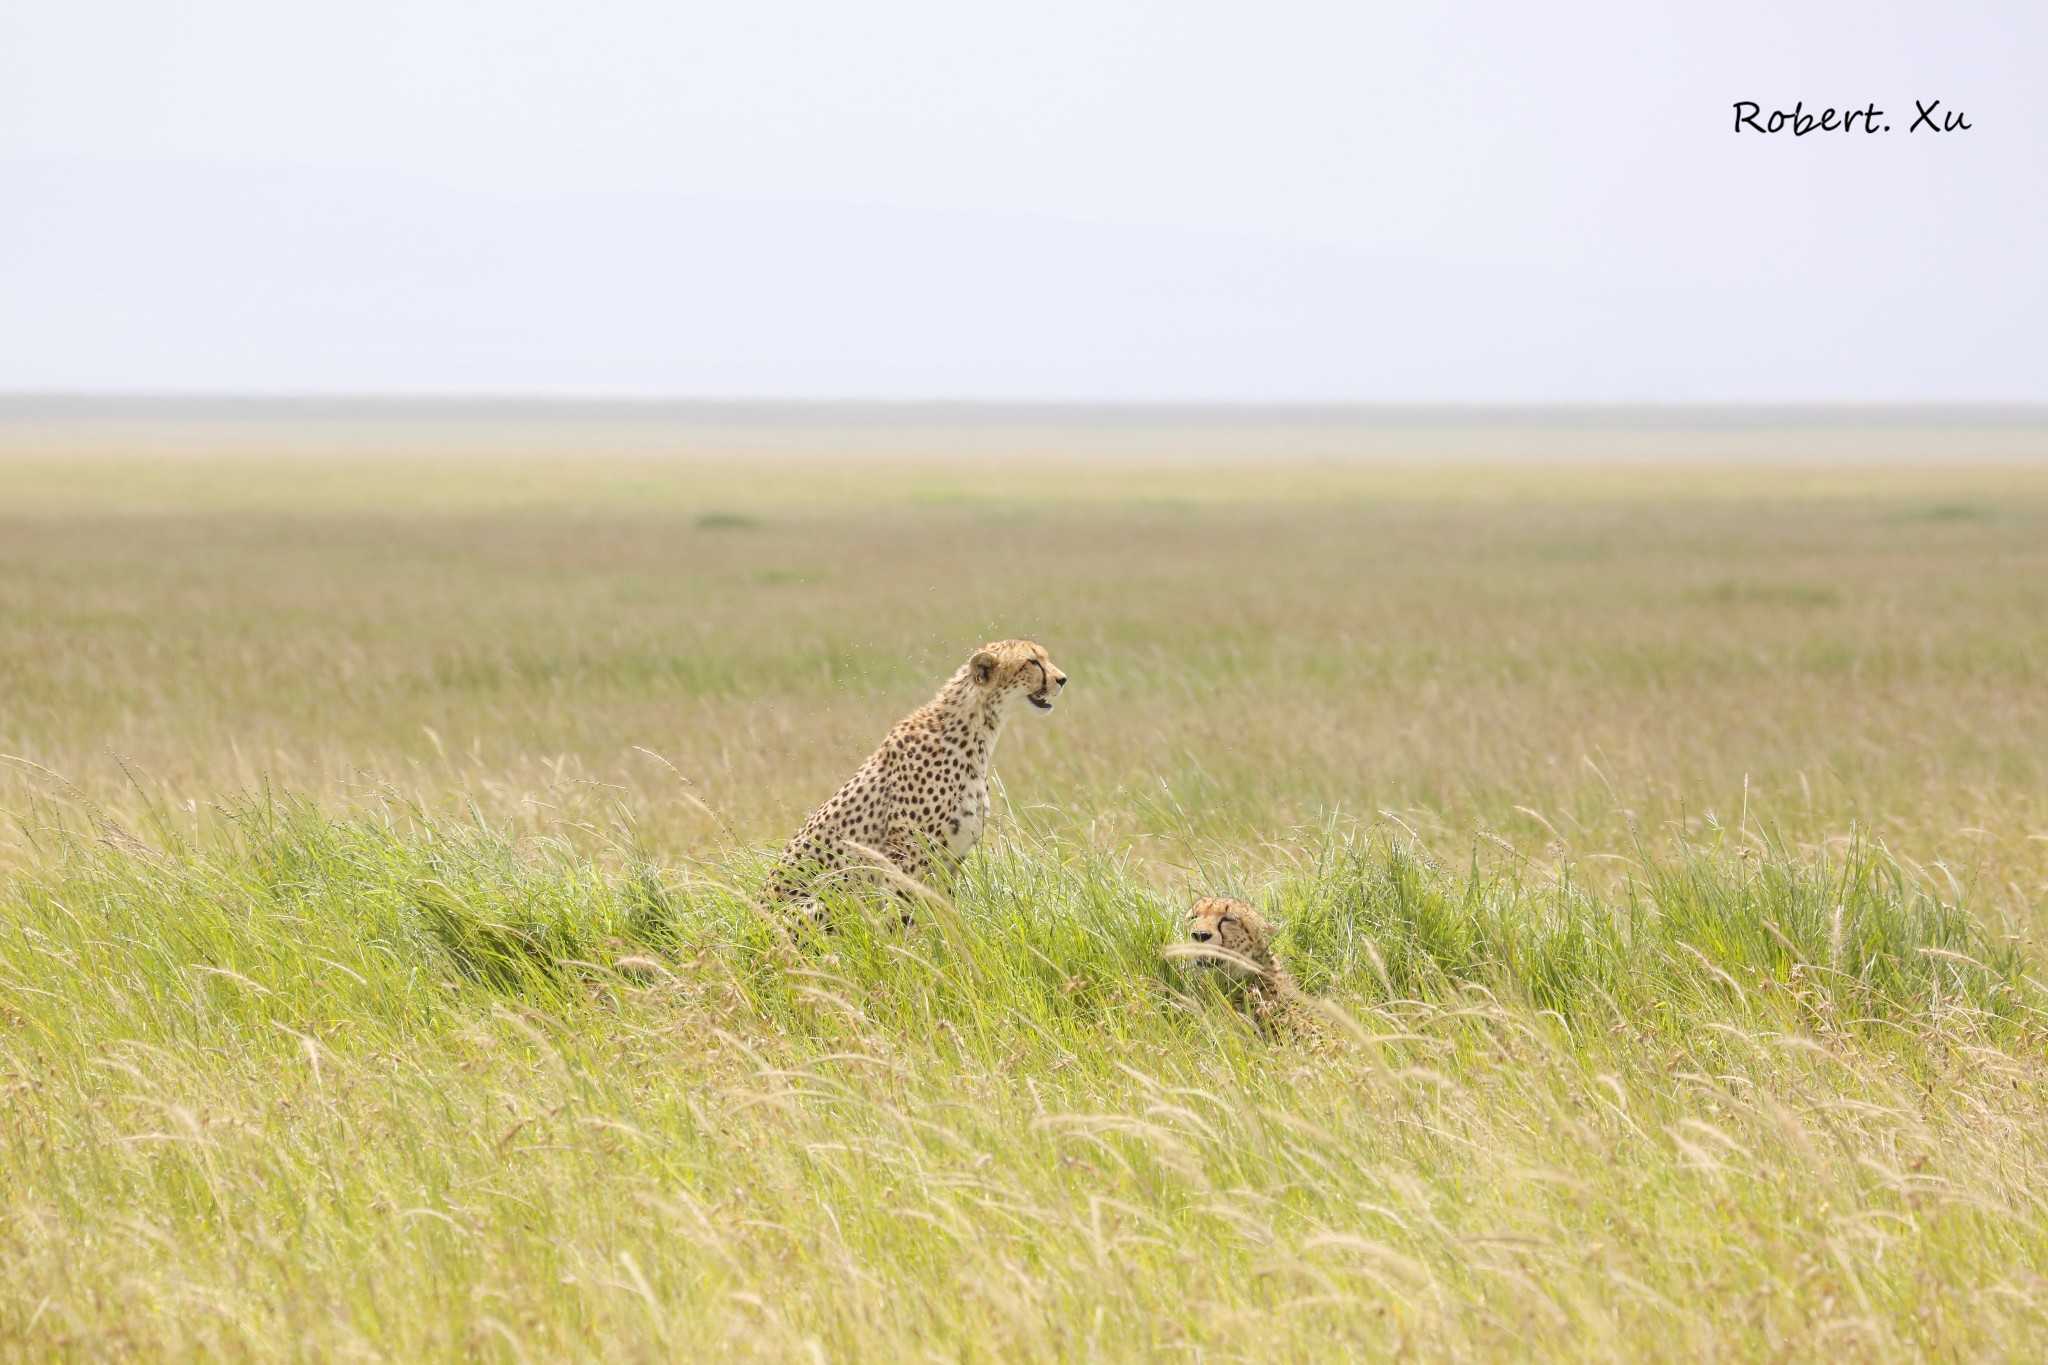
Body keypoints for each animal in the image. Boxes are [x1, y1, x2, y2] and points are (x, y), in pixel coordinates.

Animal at [761, 642, 1064, 929]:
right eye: (1032, 662)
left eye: (1045, 657)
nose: (1063, 679)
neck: (973, 733)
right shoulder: (908, 856)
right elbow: (903, 917)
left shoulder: (951, 857)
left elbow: (944, 915)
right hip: (831, 898)